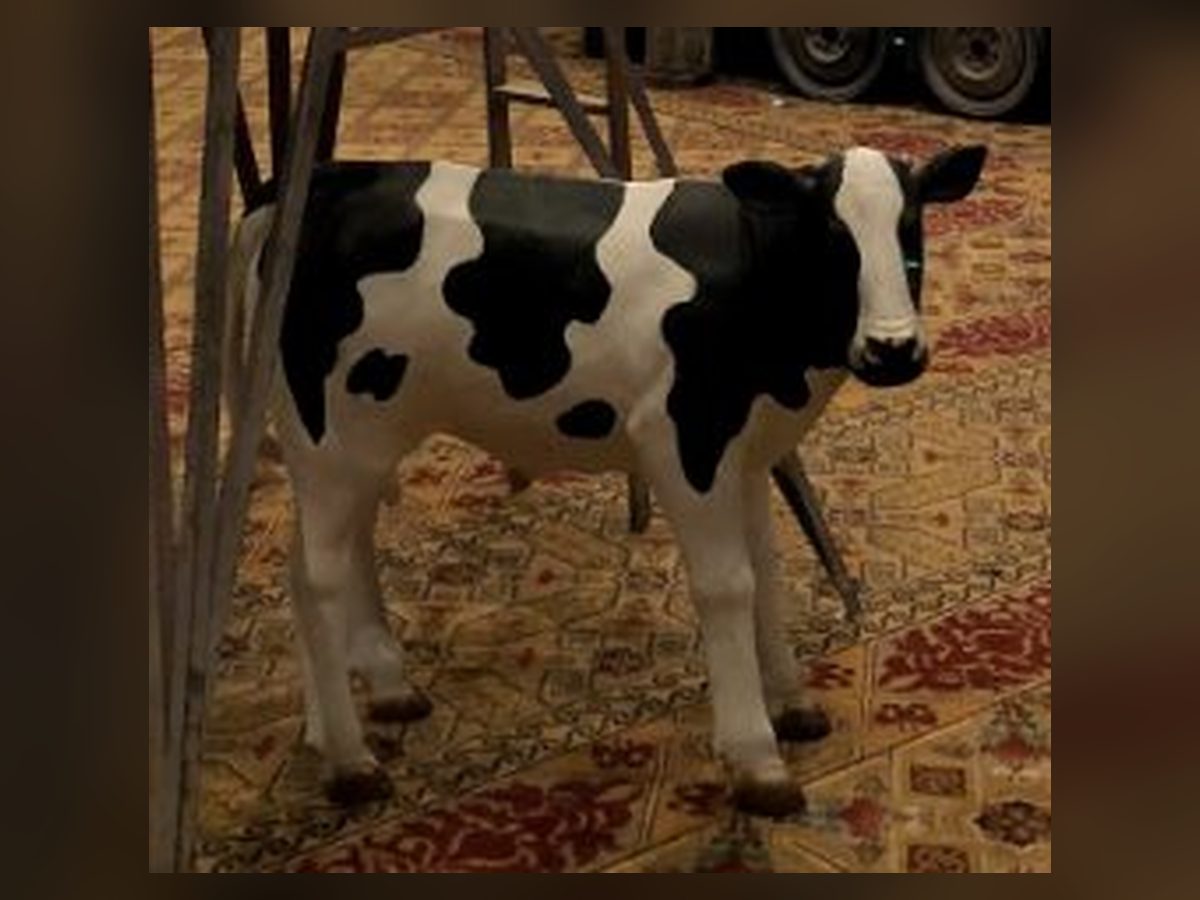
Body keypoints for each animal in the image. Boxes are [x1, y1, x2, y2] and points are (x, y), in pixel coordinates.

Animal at [224, 143, 986, 815]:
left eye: (912, 230)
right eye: (833, 239)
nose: (893, 350)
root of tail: (316, 182)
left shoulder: (746, 450)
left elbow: (766, 571)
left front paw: (793, 702)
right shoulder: (684, 440)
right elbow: (727, 586)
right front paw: (756, 757)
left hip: (349, 442)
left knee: (324, 556)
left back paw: (369, 698)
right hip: (332, 436)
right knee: (314, 579)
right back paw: (349, 761)